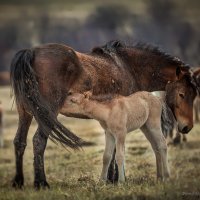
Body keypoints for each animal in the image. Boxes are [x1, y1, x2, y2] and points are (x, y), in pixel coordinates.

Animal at [10, 39, 197, 188]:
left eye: (194, 94)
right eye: (182, 94)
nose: (187, 127)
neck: (130, 67)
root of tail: (31, 53)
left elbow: (111, 151)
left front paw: (111, 178)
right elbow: (114, 152)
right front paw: (114, 178)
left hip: (25, 112)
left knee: (20, 142)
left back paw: (18, 182)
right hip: (47, 114)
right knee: (38, 141)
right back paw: (41, 182)